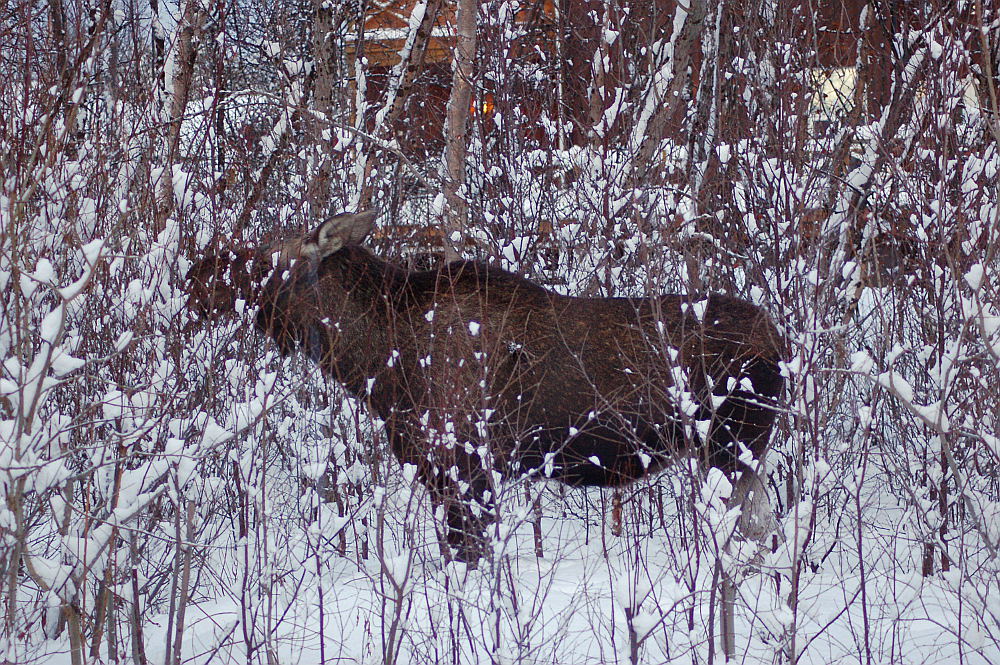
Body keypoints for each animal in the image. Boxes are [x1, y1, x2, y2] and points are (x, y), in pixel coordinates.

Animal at [184, 211, 784, 560]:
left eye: (271, 256)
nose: (197, 276)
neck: (376, 363)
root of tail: (783, 341)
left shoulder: (467, 467)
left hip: (728, 447)